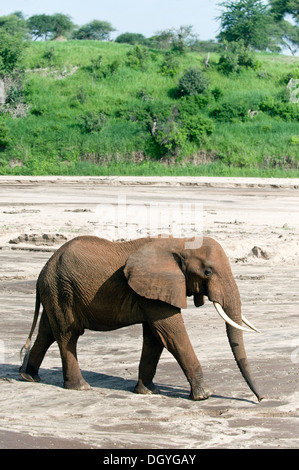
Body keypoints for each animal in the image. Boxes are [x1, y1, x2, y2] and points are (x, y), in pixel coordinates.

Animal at [18, 235, 264, 400]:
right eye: (208, 272)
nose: (261, 398)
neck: (179, 242)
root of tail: (43, 271)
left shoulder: (153, 291)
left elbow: (155, 337)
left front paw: (148, 391)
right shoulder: (156, 286)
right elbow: (171, 332)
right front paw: (205, 395)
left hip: (56, 292)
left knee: (48, 331)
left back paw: (29, 376)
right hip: (62, 291)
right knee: (68, 334)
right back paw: (80, 387)